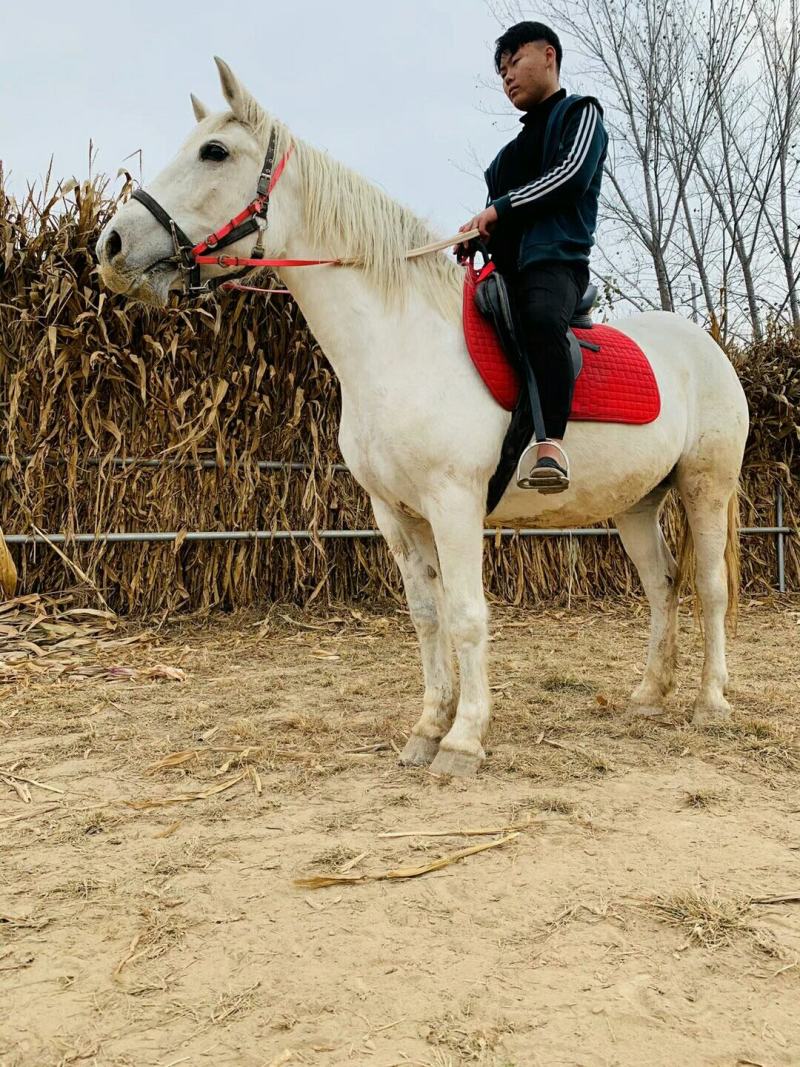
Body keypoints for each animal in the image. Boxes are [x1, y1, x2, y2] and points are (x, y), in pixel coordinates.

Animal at [96, 58, 749, 777]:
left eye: (214, 152)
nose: (112, 244)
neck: (399, 339)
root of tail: (707, 347)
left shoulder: (454, 503)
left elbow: (466, 615)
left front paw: (463, 740)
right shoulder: (397, 514)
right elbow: (427, 617)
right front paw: (429, 728)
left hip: (705, 487)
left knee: (710, 588)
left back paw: (711, 703)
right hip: (636, 503)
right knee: (661, 587)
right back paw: (648, 694)